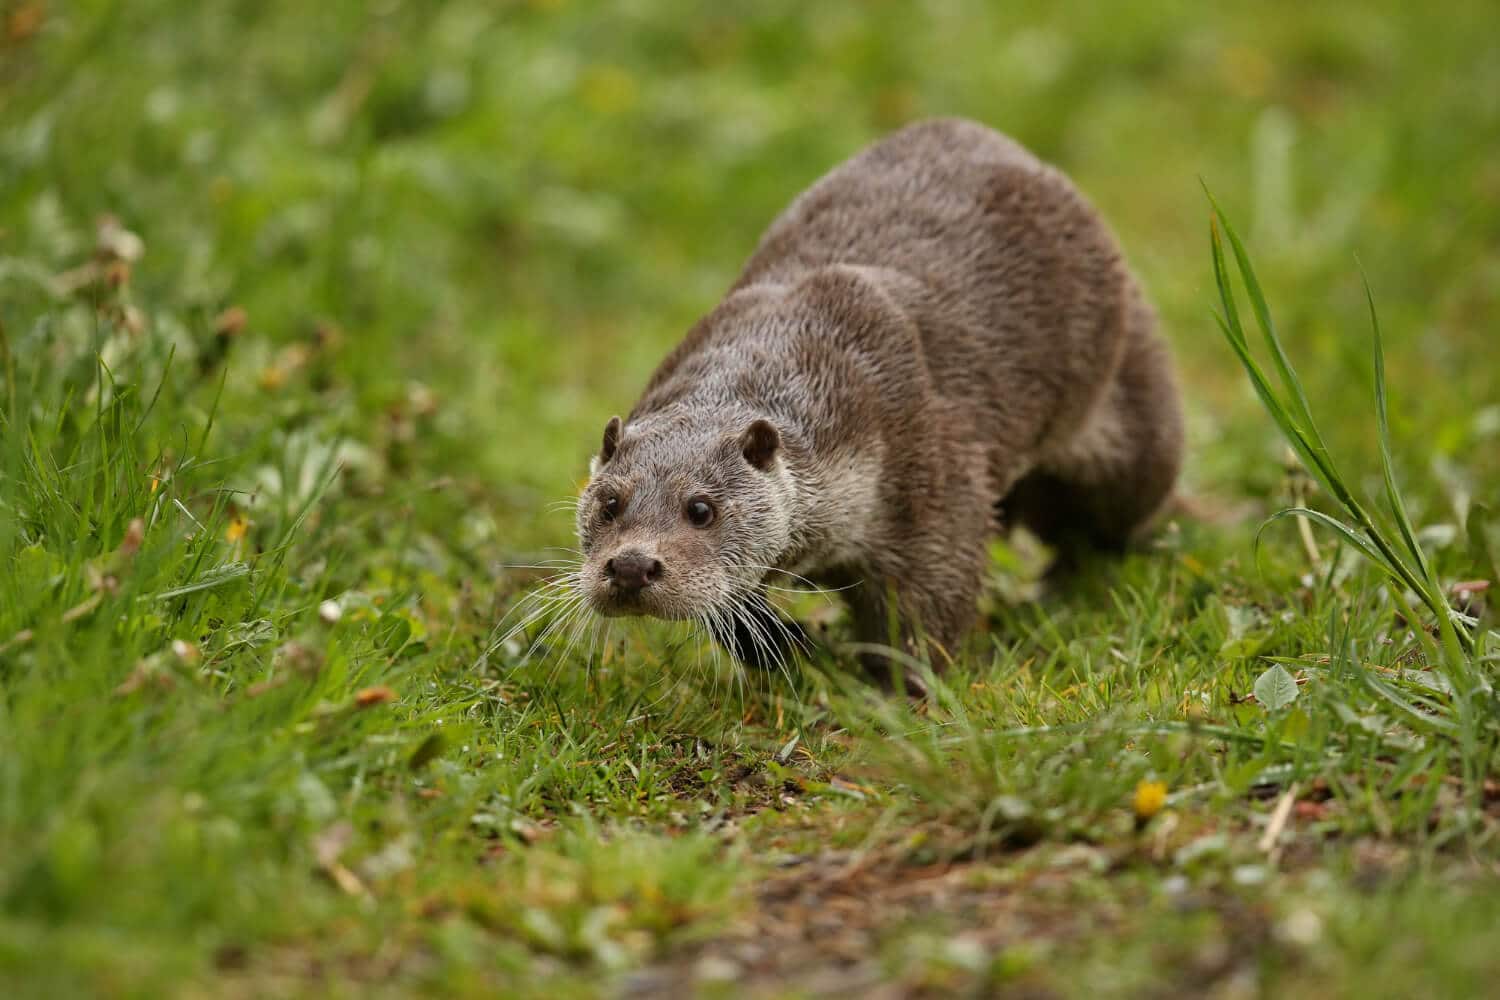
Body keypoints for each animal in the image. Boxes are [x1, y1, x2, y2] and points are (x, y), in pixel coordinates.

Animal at [570, 119, 1182, 680]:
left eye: (701, 509)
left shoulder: (928, 469)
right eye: (610, 504)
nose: (630, 566)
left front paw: (894, 692)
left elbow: (930, 601)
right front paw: (788, 647)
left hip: (1134, 426)